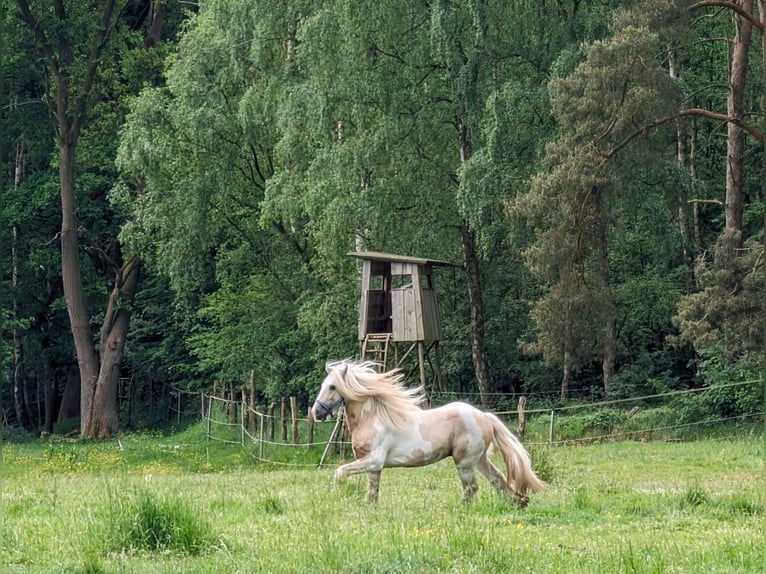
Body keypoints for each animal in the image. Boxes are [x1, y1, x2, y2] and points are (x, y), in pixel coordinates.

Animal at [310, 360, 544, 508]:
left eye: (332, 387)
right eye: (323, 385)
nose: (316, 413)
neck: (372, 418)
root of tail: (484, 416)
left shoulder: (374, 460)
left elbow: (339, 472)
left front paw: (337, 496)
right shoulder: (374, 466)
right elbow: (372, 491)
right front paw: (370, 509)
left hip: (464, 462)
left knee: (472, 488)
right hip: (479, 459)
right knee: (497, 479)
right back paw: (517, 503)